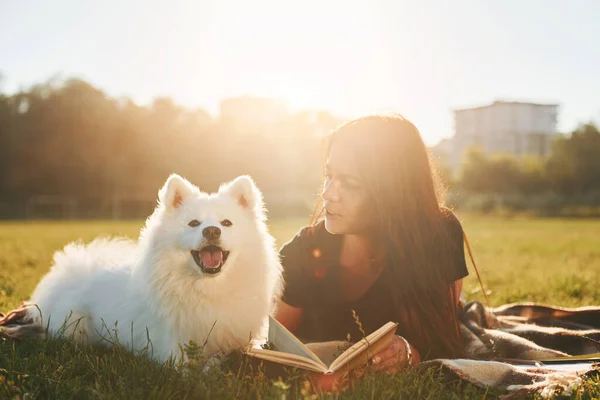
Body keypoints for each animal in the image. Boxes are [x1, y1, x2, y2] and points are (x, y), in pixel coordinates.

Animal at [0, 174, 284, 362]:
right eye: (193, 223)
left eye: (226, 223)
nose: (212, 230)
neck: (207, 288)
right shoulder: (171, 346)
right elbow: (193, 369)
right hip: (74, 326)